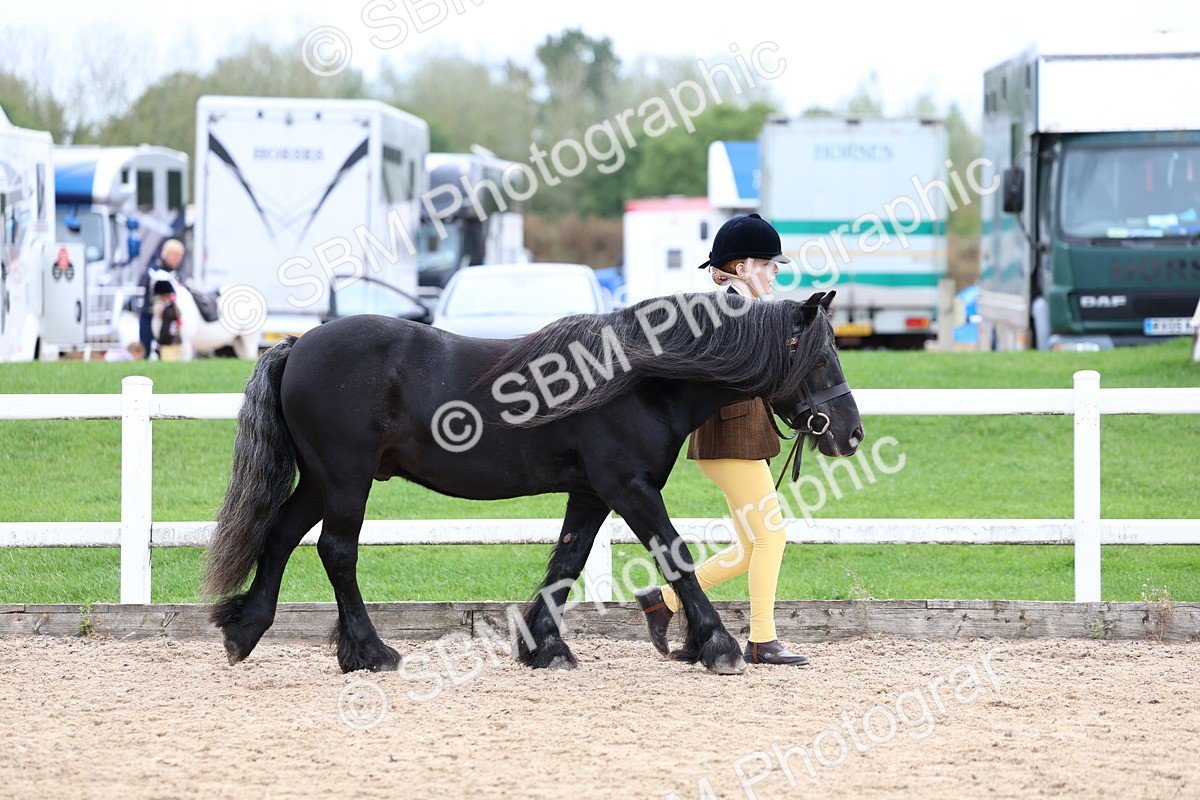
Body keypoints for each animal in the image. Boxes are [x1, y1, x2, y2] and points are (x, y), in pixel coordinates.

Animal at [203, 290, 863, 675]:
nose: (850, 433)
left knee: (281, 536)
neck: (640, 378)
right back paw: (370, 652)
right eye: (820, 356)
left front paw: (544, 647)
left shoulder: (594, 492)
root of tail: (297, 344)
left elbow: (567, 561)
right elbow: (673, 554)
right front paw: (719, 646)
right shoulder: (629, 487)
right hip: (345, 479)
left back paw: (245, 630)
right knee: (337, 552)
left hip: (321, 481)